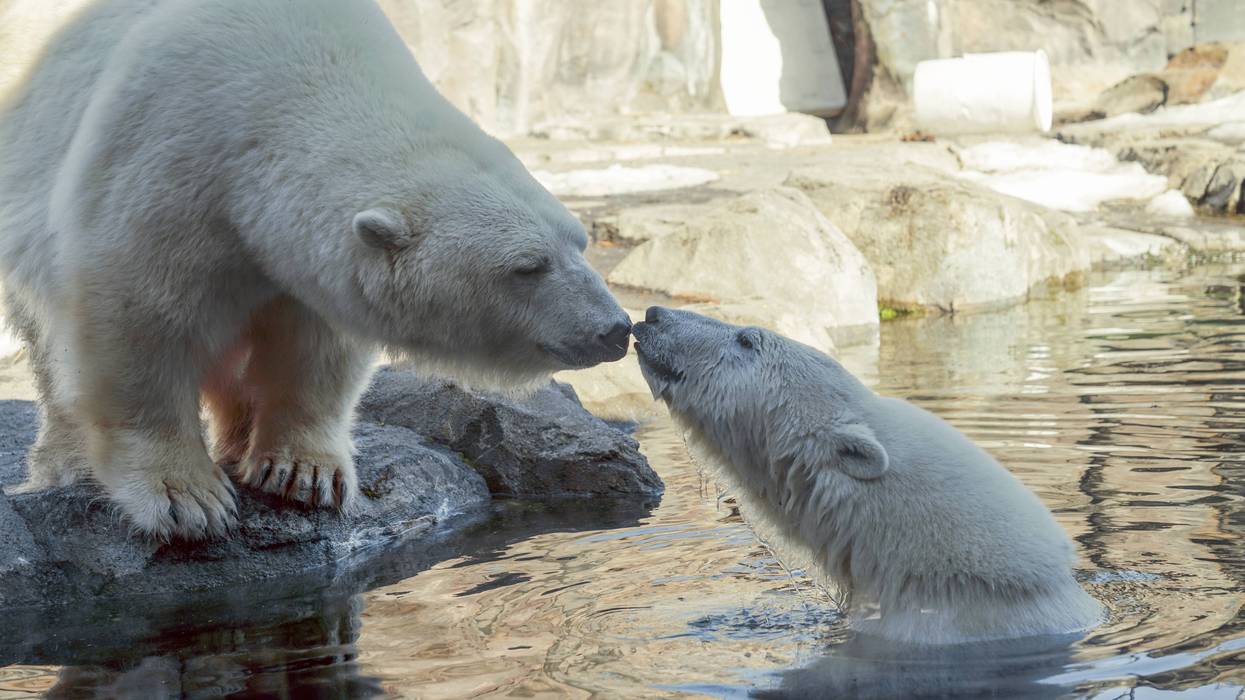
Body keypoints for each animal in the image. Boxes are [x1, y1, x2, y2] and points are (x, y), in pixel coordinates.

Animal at [0, 0, 631, 541]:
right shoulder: (166, 157)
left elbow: (315, 346)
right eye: (528, 266)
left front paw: (302, 473)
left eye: (579, 241)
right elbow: (140, 318)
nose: (616, 328)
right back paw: (68, 462)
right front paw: (188, 498)